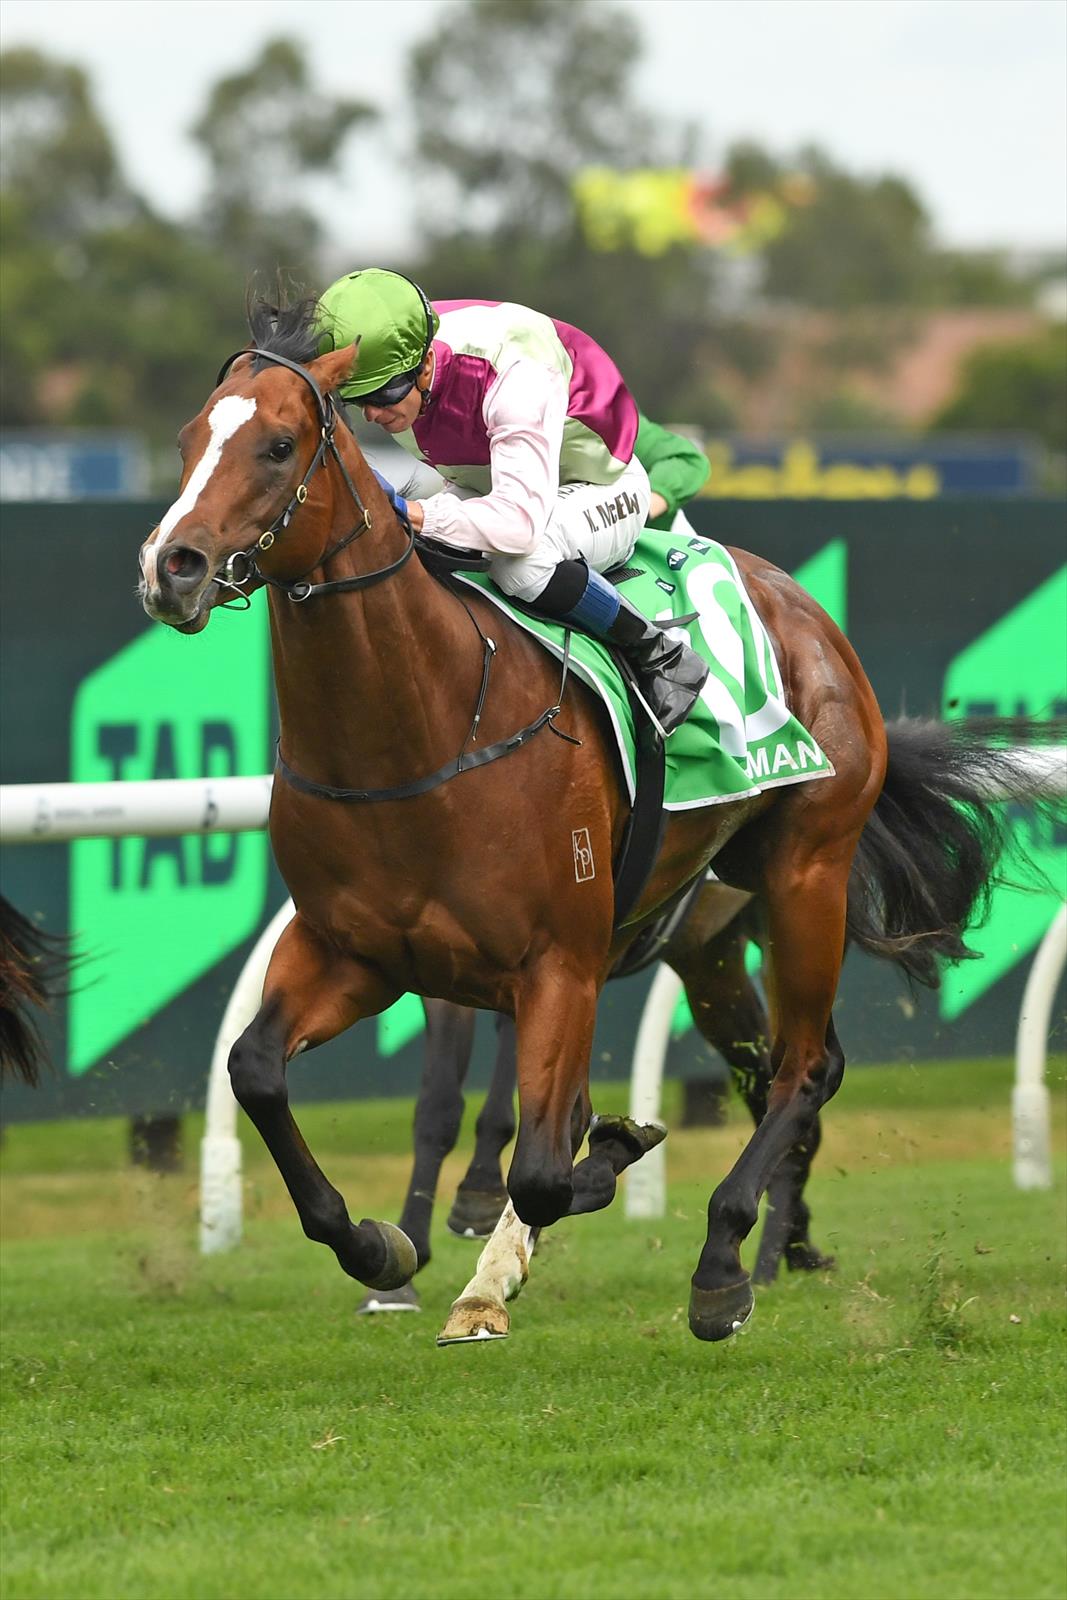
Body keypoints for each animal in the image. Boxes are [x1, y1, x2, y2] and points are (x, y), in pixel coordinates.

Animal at [137, 294, 1036, 1344]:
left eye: (278, 447)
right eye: (191, 437)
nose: (172, 567)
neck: (421, 731)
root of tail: (806, 613)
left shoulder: (557, 962)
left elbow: (541, 1163)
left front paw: (586, 1171)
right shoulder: (354, 952)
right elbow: (257, 1070)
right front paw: (381, 1249)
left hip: (806, 870)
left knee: (805, 1067)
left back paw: (727, 1263)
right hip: (713, 939)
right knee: (776, 1065)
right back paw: (774, 1246)